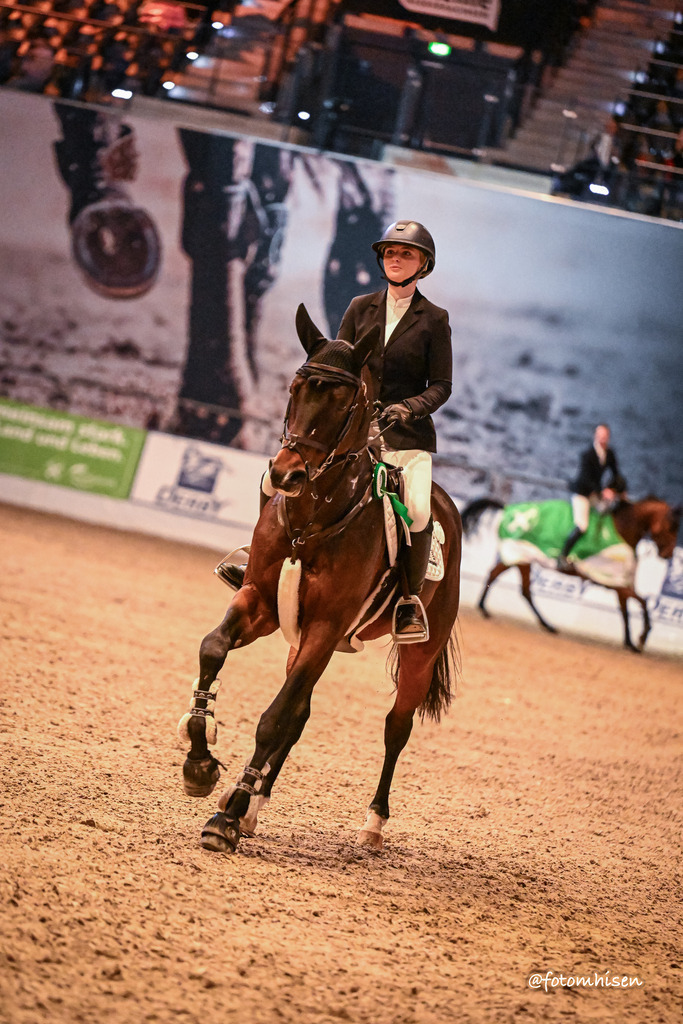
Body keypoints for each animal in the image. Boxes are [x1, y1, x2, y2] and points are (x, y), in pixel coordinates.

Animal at [177, 304, 462, 854]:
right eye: (296, 387)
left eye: (344, 400)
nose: (285, 475)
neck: (313, 516)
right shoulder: (262, 603)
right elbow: (212, 649)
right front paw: (200, 765)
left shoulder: (326, 628)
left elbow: (272, 719)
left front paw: (224, 818)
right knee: (300, 712)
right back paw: (256, 806)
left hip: (417, 650)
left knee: (395, 727)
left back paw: (372, 825)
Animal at [461, 496, 680, 652]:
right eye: (671, 527)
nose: (668, 555)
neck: (623, 531)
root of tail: (508, 508)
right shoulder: (616, 581)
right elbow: (642, 603)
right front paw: (641, 639)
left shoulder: (620, 583)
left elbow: (626, 610)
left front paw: (629, 642)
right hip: (521, 555)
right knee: (505, 580)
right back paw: (486, 609)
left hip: (522, 559)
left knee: (515, 585)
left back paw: (542, 624)